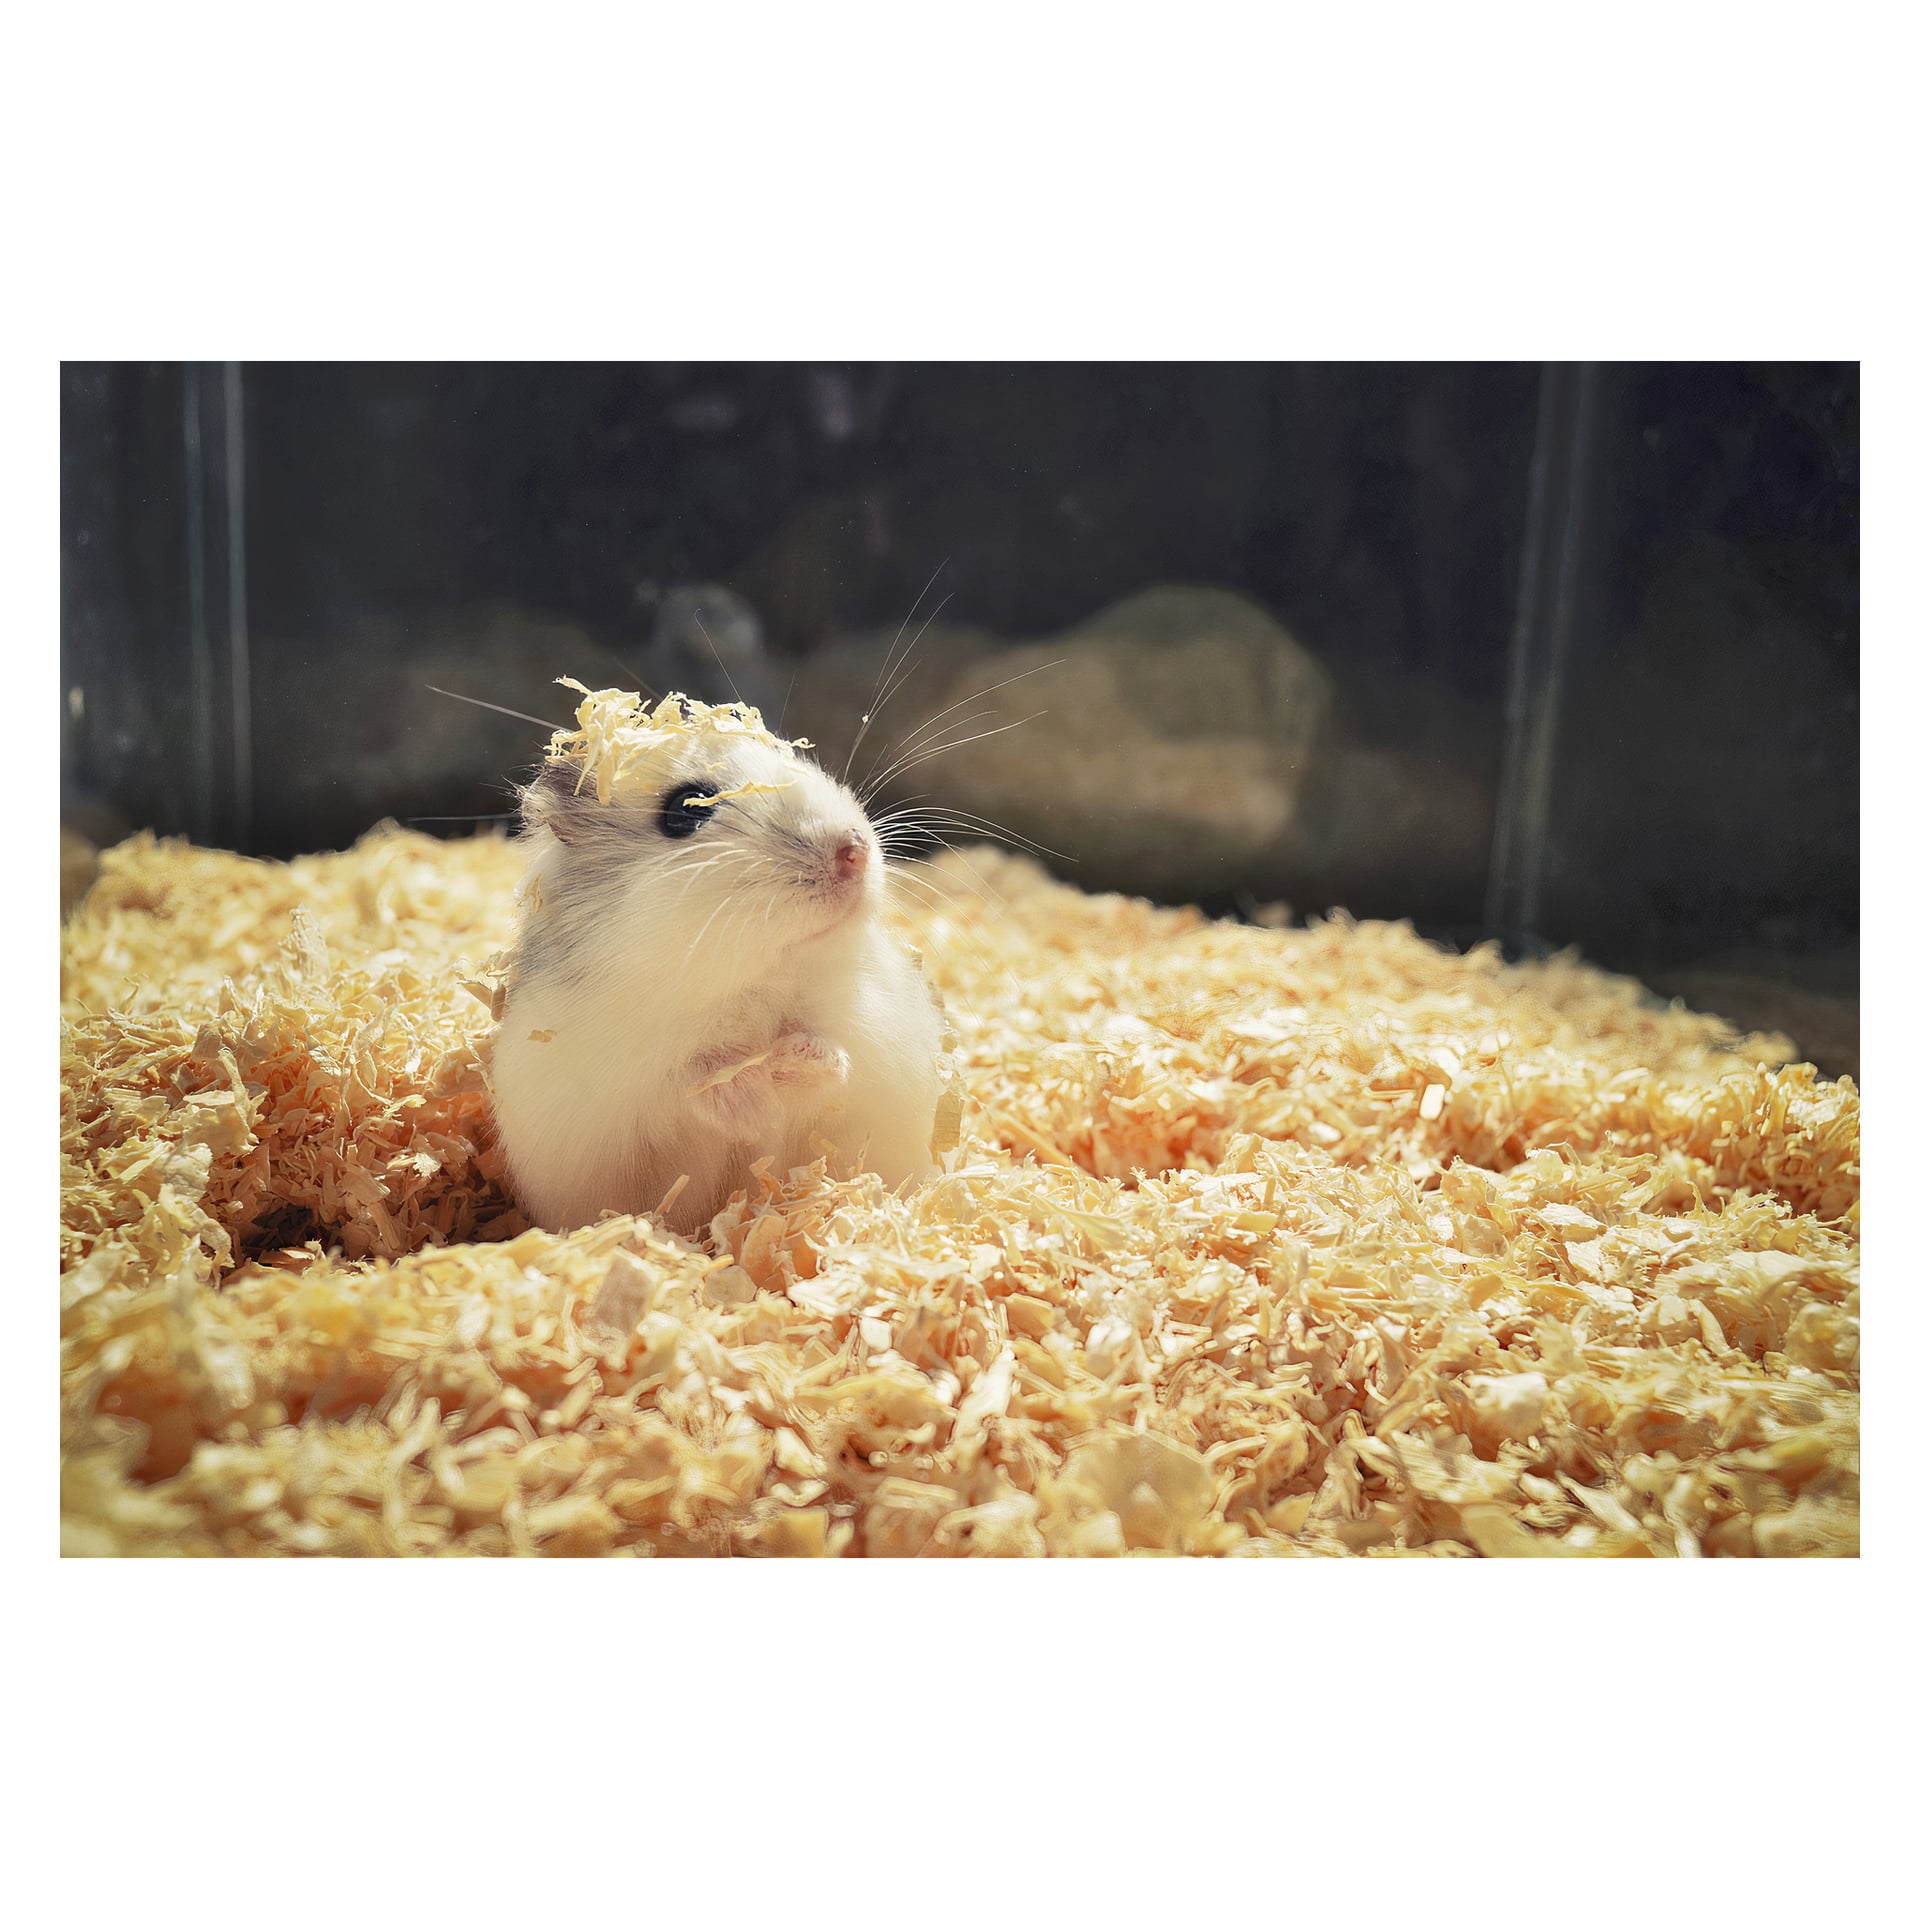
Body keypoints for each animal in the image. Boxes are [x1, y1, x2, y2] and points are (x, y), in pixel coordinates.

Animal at [488, 682, 945, 1235]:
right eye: (685, 810)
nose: (853, 852)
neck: (753, 979)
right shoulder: (630, 1072)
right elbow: (694, 1078)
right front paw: (755, 1101)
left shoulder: (868, 1025)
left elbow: (830, 1052)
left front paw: (788, 1065)